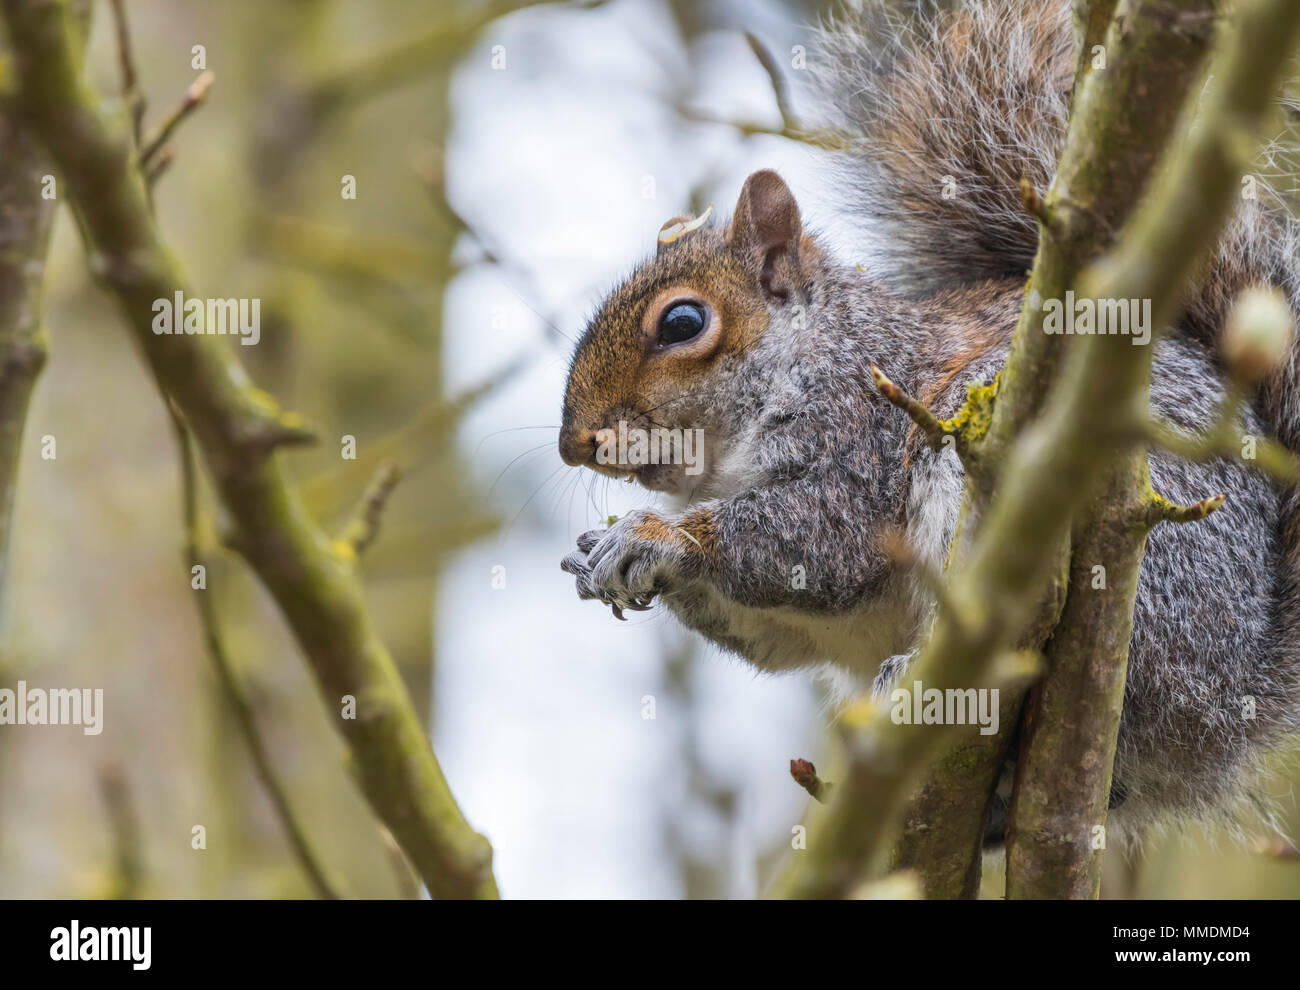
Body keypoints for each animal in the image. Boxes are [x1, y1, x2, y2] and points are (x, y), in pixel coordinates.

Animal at [556, 0, 1300, 841]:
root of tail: (1230, 708)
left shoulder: (862, 433)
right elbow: (778, 632)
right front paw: (597, 552)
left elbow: (818, 538)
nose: (573, 442)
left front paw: (656, 535)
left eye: (683, 322)